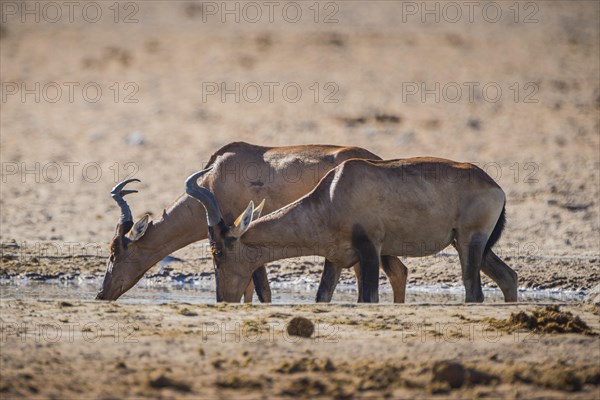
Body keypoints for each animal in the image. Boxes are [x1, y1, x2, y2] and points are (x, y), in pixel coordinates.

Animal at [97, 142, 408, 302]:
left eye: (114, 251)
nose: (101, 293)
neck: (214, 176)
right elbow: (248, 289)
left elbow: (262, 291)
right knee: (396, 273)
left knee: (394, 273)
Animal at [185, 156, 516, 304]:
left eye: (217, 251)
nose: (222, 299)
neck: (335, 190)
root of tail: (495, 186)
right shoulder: (335, 259)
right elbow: (322, 296)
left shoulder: (370, 250)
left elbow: (368, 297)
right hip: (468, 244)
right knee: (508, 277)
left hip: (471, 241)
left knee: (474, 291)